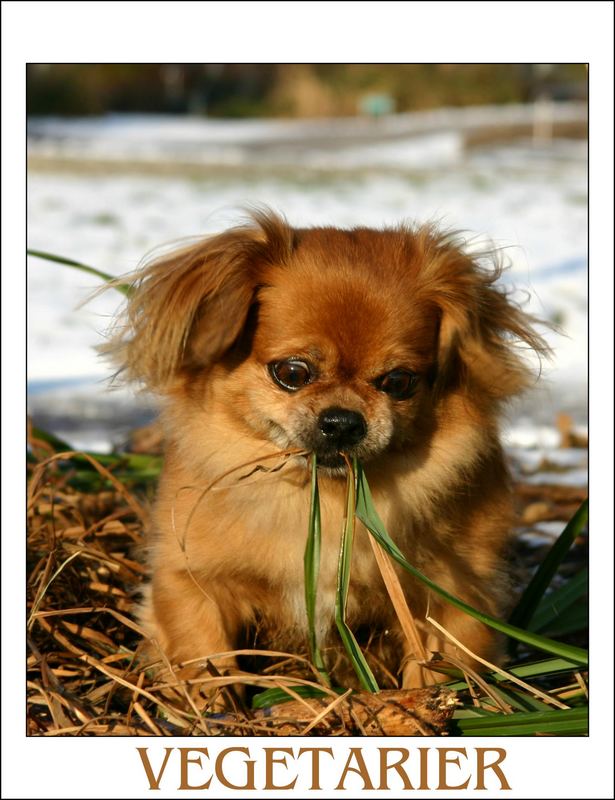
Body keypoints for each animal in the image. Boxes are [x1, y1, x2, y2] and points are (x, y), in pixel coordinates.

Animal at [107, 208, 548, 700]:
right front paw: (212, 706)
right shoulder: (193, 582)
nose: (342, 421)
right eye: (292, 373)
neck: (317, 501)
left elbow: (437, 673)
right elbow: (206, 660)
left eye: (399, 382)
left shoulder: (452, 598)